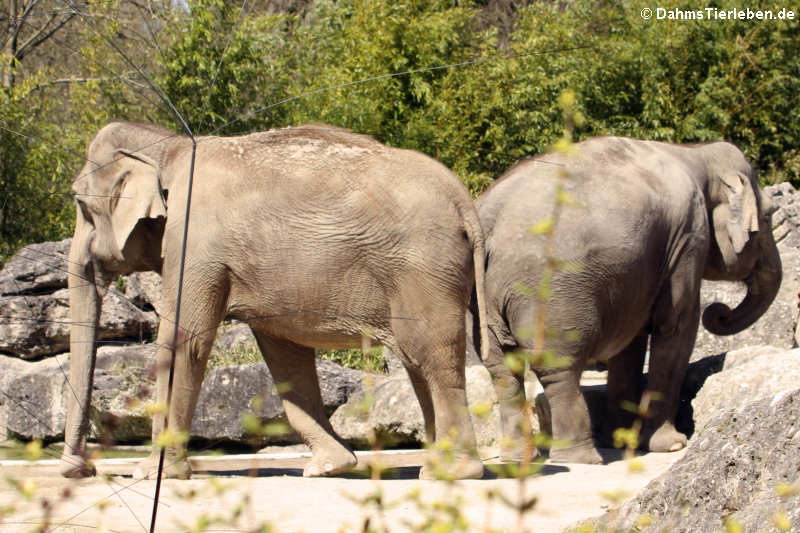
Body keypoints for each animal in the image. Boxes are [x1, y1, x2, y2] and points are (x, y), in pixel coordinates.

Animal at [61, 120, 488, 478]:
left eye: (80, 205)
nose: (81, 470)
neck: (171, 148)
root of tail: (465, 203)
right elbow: (285, 355)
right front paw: (330, 467)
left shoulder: (194, 246)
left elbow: (185, 342)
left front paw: (154, 475)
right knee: (416, 360)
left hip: (424, 268)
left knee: (433, 357)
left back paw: (450, 473)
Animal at [476, 136, 780, 462]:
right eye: (768, 216)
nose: (719, 312)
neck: (696, 153)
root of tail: (489, 222)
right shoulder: (688, 237)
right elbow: (676, 325)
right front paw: (671, 445)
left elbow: (630, 342)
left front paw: (621, 442)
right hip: (550, 292)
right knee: (557, 368)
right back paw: (580, 459)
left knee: (503, 370)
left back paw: (519, 458)